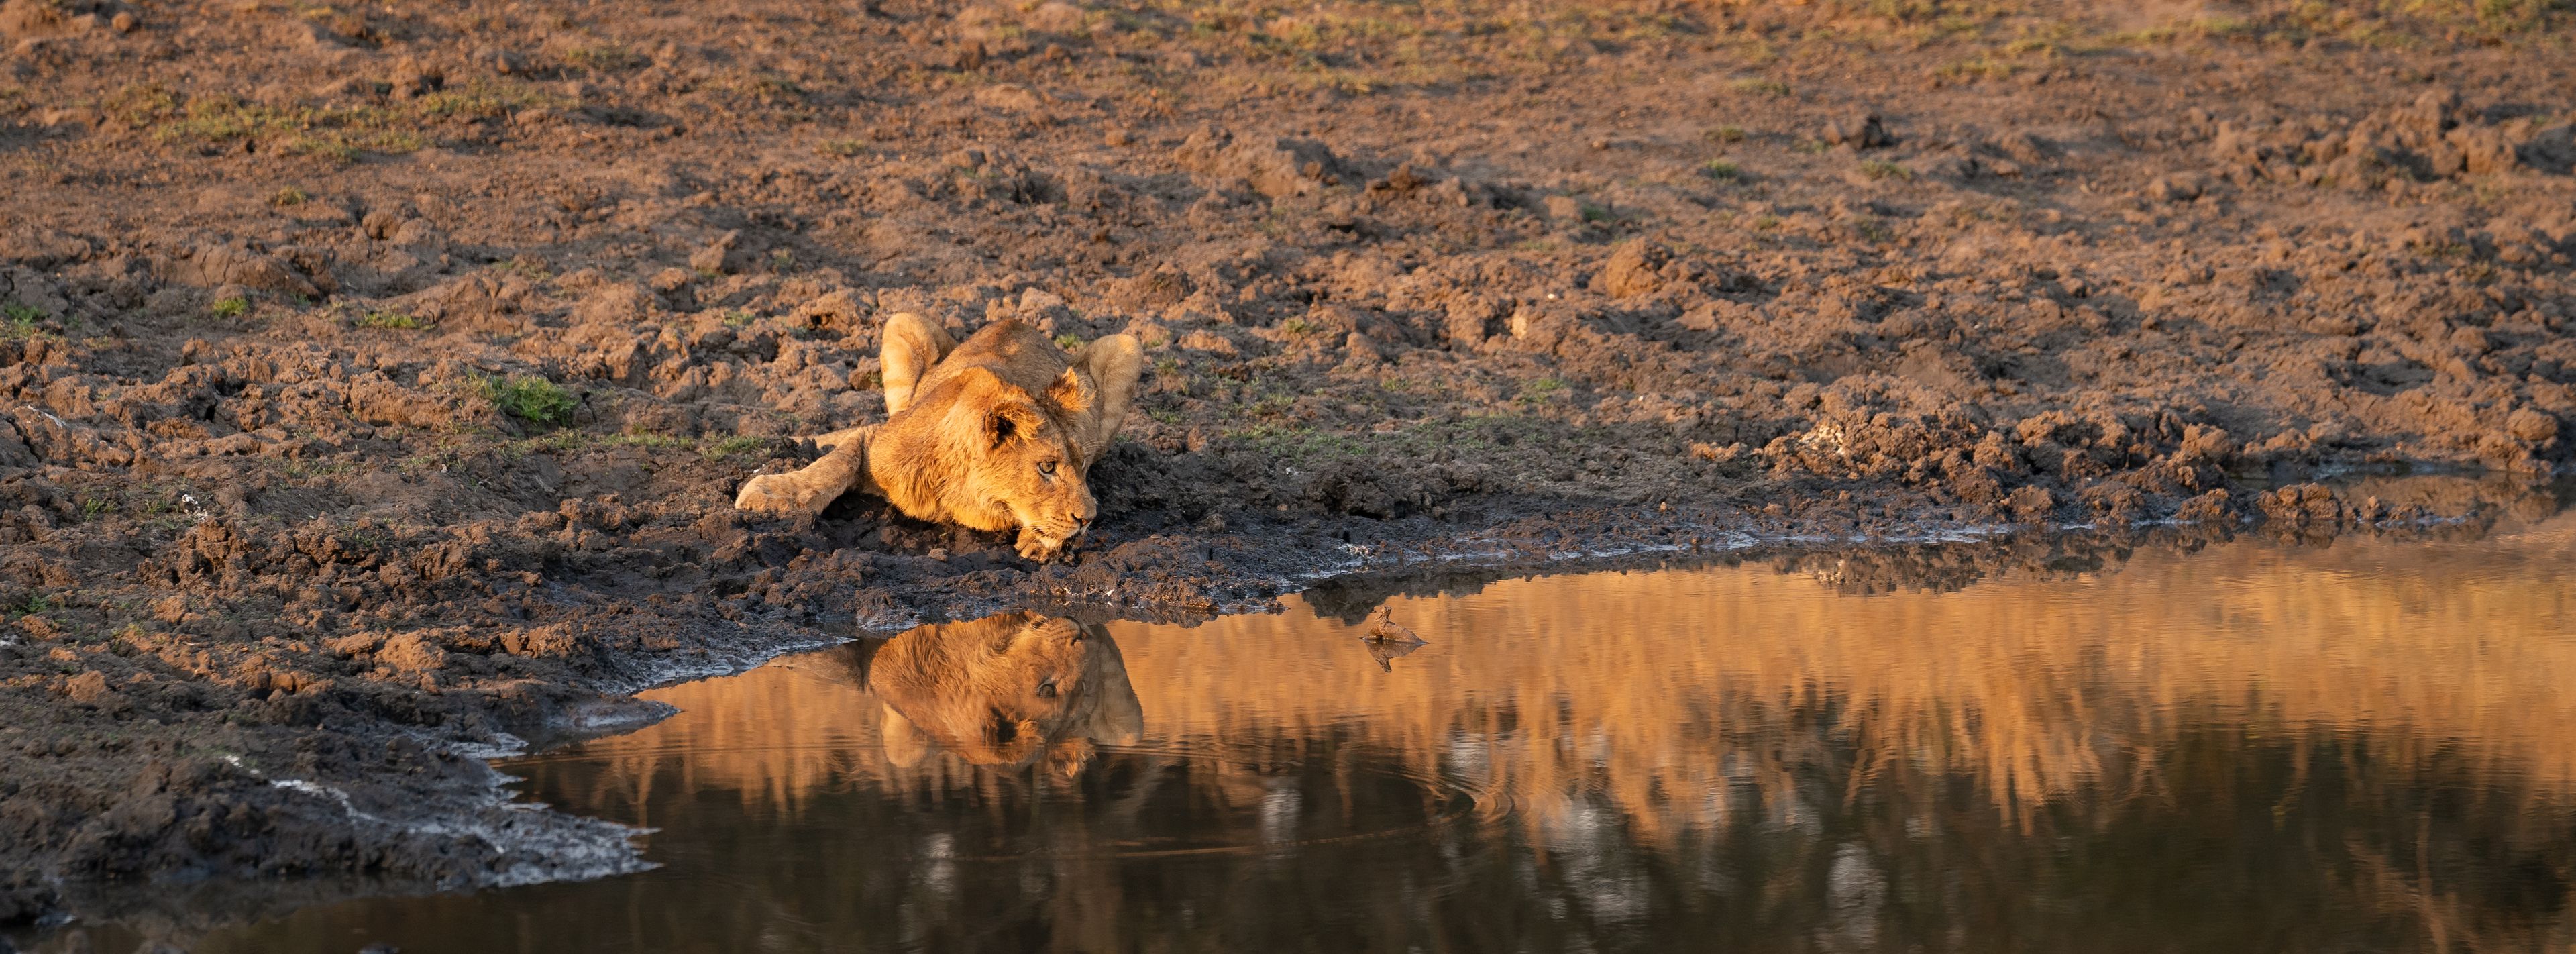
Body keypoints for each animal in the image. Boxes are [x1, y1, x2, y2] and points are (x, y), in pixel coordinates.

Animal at [734, 313, 1144, 561]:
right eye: (1047, 467)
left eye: (1082, 465)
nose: (1089, 519)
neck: (967, 491)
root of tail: (1018, 321)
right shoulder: (878, 439)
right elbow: (833, 465)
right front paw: (773, 493)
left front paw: (1040, 541)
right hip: (902, 322)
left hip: (1128, 346)